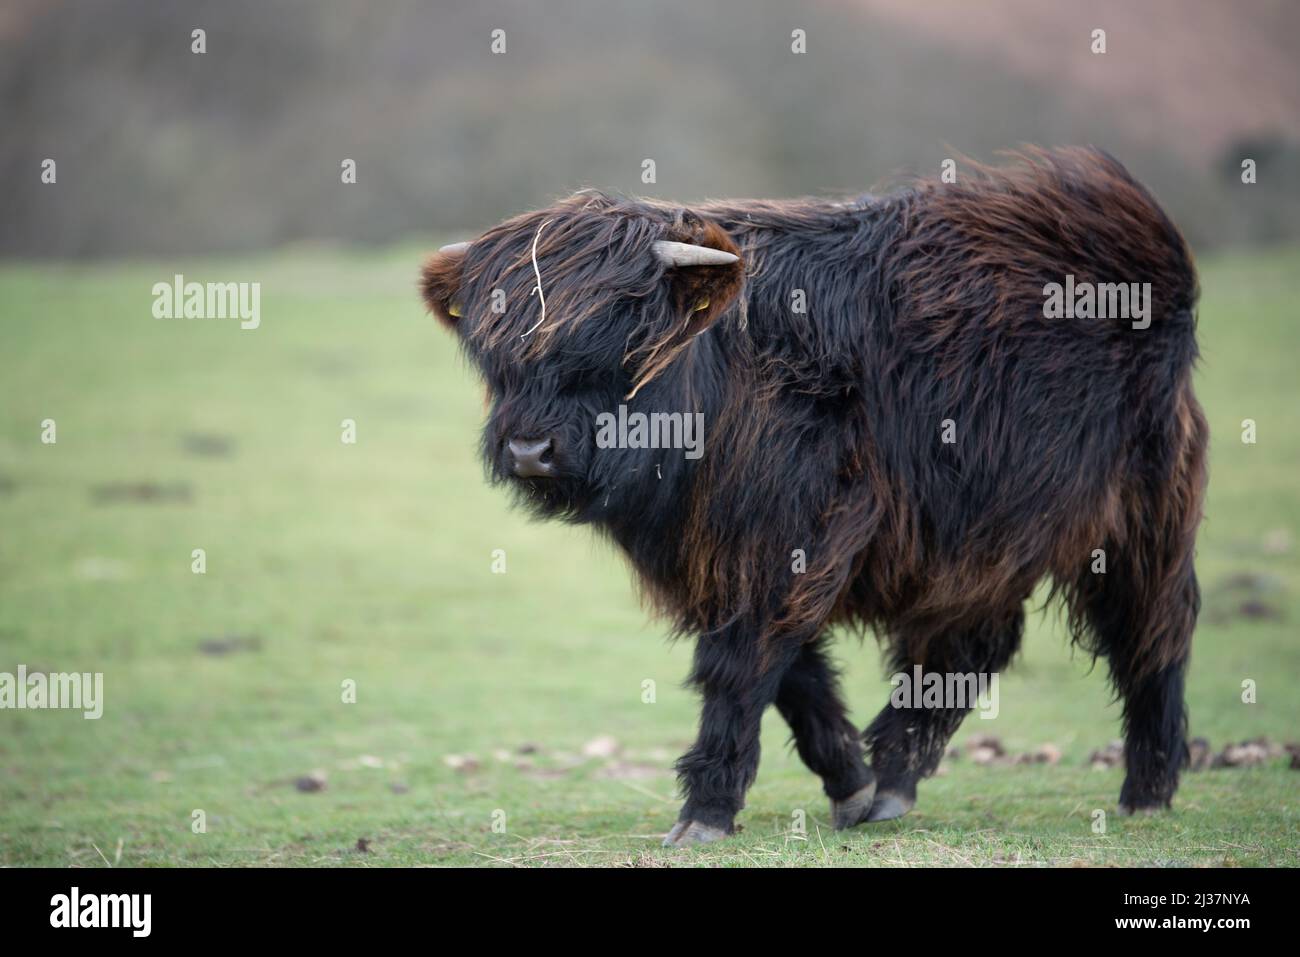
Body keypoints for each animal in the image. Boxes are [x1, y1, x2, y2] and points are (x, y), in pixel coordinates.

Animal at [421, 147, 1201, 842]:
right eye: (493, 349)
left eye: (620, 332)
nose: (530, 449)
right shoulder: (727, 556)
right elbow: (795, 676)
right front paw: (849, 783)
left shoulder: (794, 537)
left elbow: (740, 666)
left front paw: (706, 811)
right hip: (982, 535)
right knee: (969, 642)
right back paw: (893, 784)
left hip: (1137, 515)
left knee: (1151, 632)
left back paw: (1147, 791)